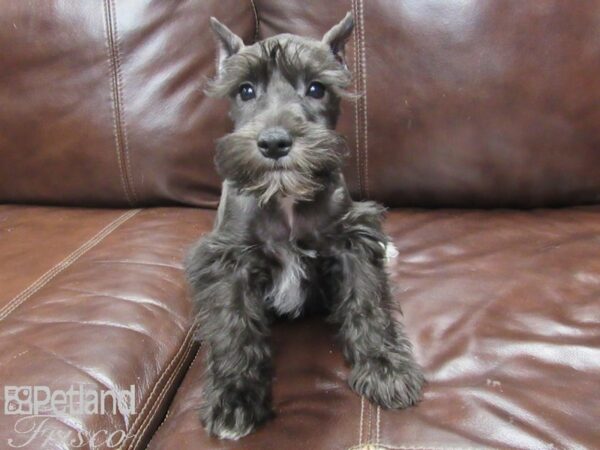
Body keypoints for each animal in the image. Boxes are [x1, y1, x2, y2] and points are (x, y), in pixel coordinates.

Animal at [185, 11, 424, 440]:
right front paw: (235, 397)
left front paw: (385, 369)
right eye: (245, 90)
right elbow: (233, 324)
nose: (274, 142)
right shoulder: (231, 260)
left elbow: (368, 303)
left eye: (316, 88)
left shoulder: (351, 243)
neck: (284, 198)